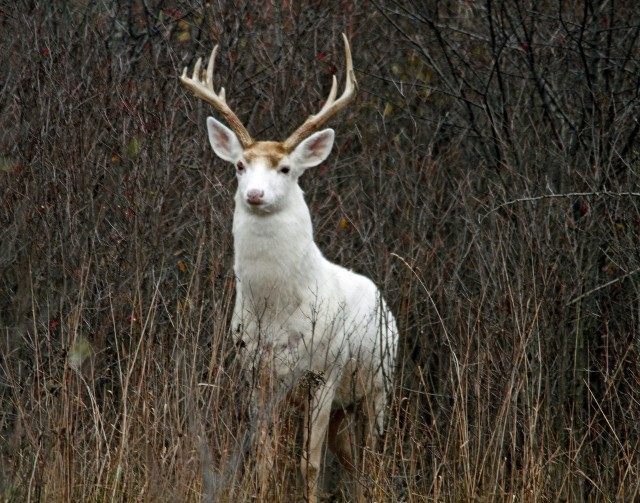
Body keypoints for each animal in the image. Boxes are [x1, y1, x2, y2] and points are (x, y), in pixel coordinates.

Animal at [180, 34, 398, 502]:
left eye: (285, 167)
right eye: (240, 166)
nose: (255, 194)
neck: (277, 308)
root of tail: (384, 303)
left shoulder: (324, 370)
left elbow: (309, 463)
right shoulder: (256, 372)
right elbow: (264, 457)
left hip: (380, 383)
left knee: (374, 456)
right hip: (346, 403)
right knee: (353, 460)